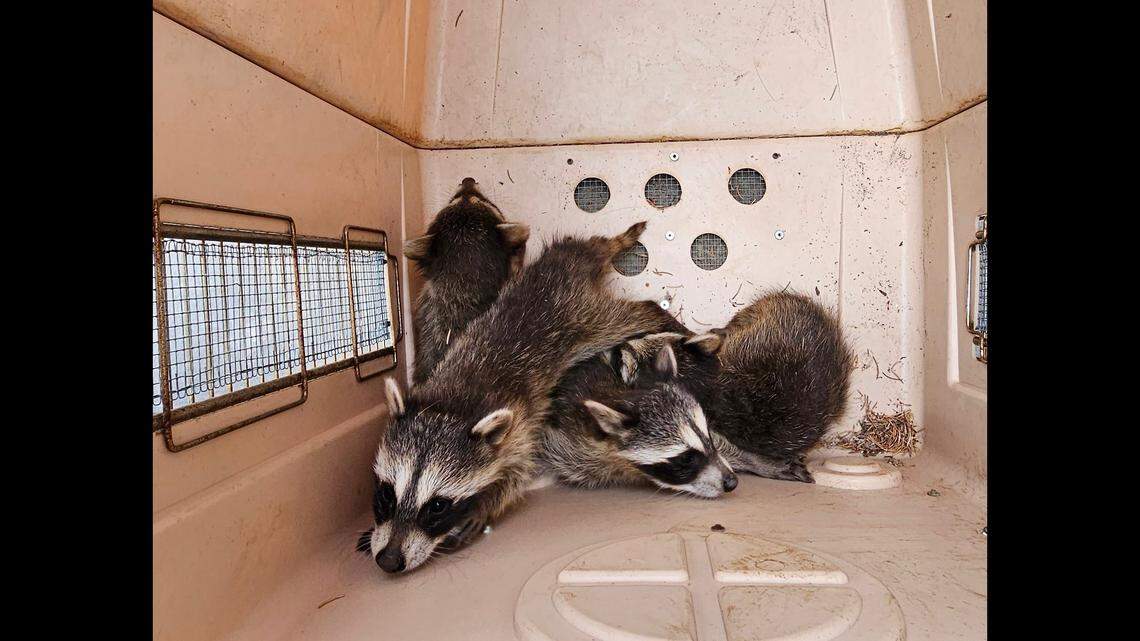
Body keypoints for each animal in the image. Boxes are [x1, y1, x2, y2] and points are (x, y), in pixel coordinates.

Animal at [365, 222, 669, 573]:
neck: (452, 406)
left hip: (590, 320)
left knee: (637, 311)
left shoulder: (520, 427)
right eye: (387, 494)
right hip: (571, 268)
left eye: (437, 506)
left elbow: (518, 474)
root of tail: (561, 270)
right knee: (590, 247)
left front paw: (486, 504)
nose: (389, 560)